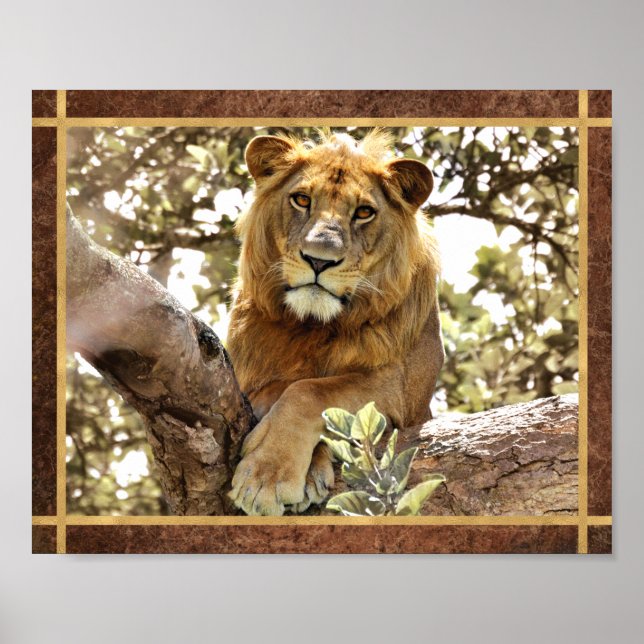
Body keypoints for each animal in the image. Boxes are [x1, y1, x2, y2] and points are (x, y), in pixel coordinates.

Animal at [227, 129, 444, 515]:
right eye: (301, 199)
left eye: (364, 212)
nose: (319, 260)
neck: (312, 325)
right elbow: (285, 387)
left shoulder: (397, 388)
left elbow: (308, 390)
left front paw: (266, 476)